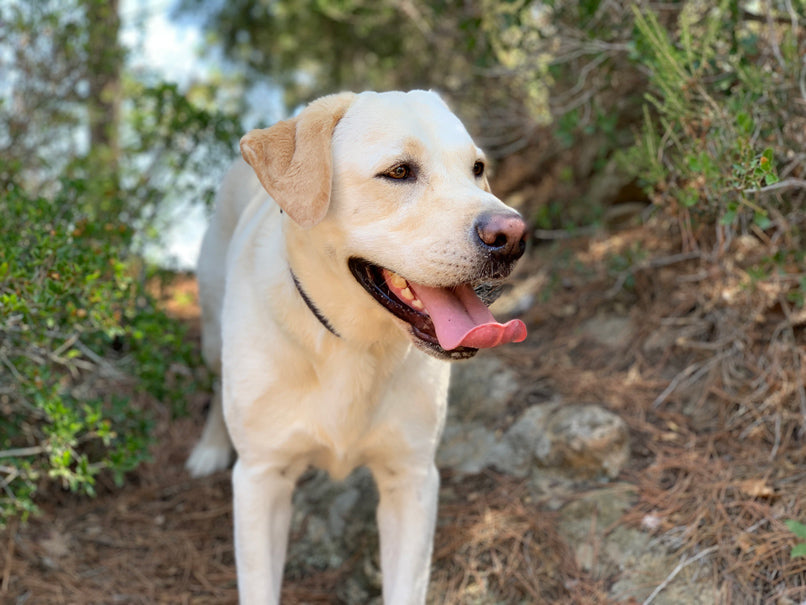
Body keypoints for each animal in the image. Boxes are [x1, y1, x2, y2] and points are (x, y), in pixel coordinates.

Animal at [188, 91, 532, 604]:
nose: (512, 236)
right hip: (213, 332)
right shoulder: (261, 479)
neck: (352, 345)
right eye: (399, 171)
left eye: (477, 168)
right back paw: (210, 448)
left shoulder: (411, 478)